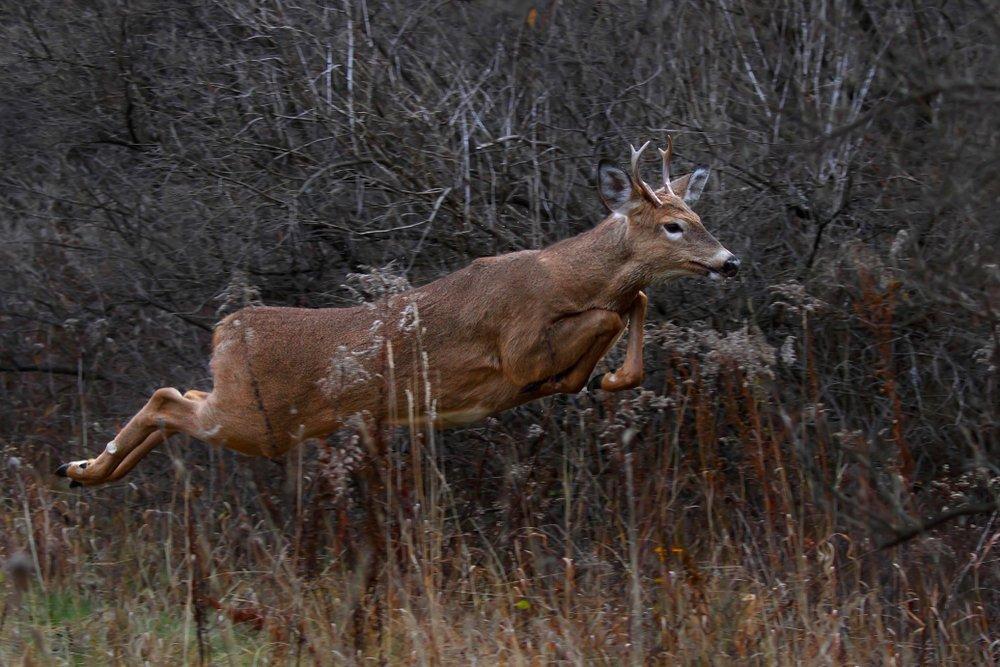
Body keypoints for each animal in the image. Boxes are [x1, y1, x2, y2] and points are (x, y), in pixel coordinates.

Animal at [56, 140, 744, 486]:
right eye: (674, 225)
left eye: (700, 216)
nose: (730, 260)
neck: (565, 276)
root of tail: (227, 330)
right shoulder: (517, 344)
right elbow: (611, 314)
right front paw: (599, 376)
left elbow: (634, 300)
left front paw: (613, 377)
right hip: (258, 420)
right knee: (168, 398)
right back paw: (88, 468)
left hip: (246, 410)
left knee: (179, 396)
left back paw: (85, 470)